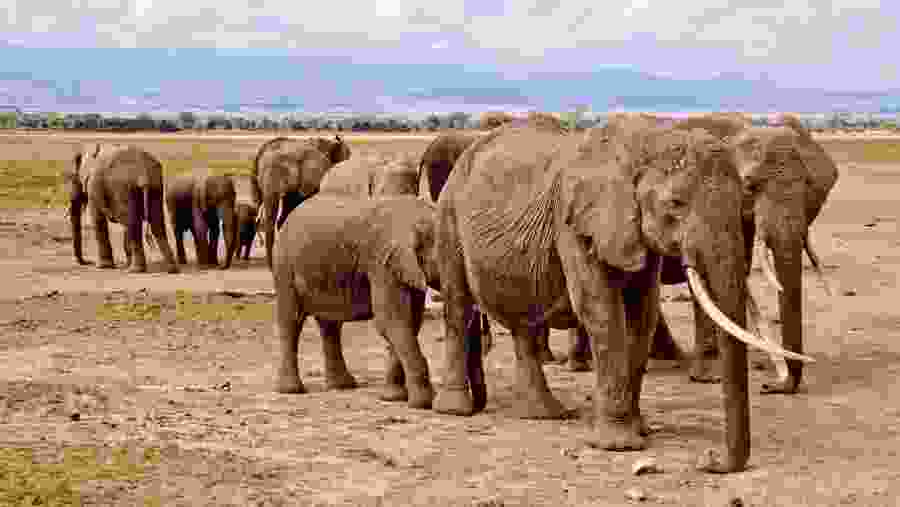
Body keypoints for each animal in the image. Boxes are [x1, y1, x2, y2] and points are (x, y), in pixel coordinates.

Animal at [61, 143, 178, 274]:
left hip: (125, 188)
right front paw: (124, 263)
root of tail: (144, 174)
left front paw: (103, 267)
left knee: (133, 225)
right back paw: (171, 269)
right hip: (155, 187)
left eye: (73, 178)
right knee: (156, 225)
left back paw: (135, 270)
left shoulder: (94, 185)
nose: (88, 262)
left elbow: (98, 219)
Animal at [272, 194, 486, 409]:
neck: (417, 215)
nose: (478, 407)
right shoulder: (383, 262)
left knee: (330, 325)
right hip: (284, 265)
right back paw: (292, 390)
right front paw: (423, 403)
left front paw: (393, 398)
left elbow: (409, 322)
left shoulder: (405, 268)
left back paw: (342, 386)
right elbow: (391, 321)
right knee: (292, 321)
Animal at [431, 120, 813, 473]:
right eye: (676, 203)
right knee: (458, 306)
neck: (645, 143)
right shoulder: (574, 224)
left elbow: (642, 314)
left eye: (743, 201)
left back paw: (544, 414)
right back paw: (456, 409)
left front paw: (640, 429)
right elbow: (601, 311)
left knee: (523, 324)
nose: (710, 460)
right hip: (448, 216)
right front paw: (620, 445)